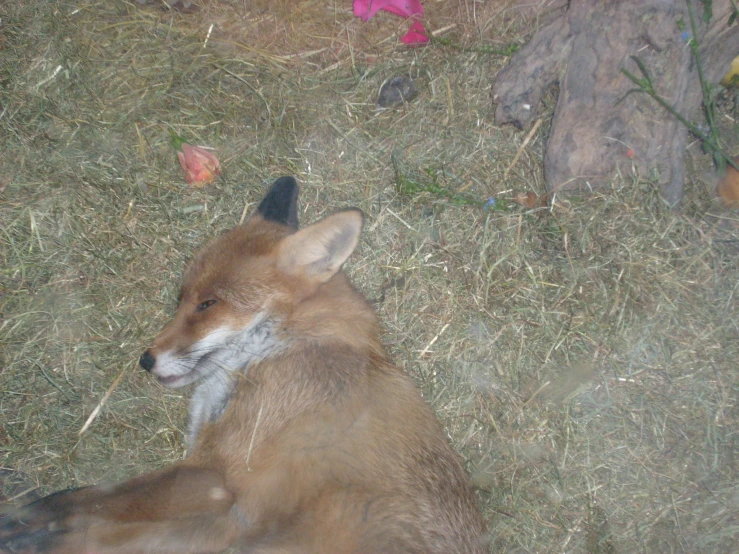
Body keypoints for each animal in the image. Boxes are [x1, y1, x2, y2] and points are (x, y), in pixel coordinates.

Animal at [1, 178, 492, 552]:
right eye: (181, 297)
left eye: (209, 304)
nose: (146, 359)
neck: (290, 345)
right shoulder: (218, 514)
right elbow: (90, 519)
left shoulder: (221, 477)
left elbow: (85, 501)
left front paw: (23, 521)